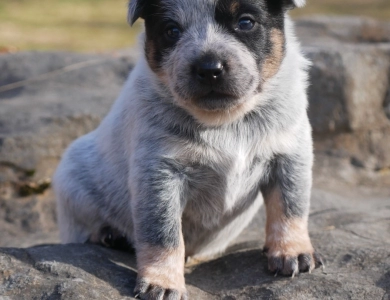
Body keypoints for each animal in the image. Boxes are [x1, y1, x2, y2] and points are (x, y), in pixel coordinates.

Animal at [54, 0, 322, 298]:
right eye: (171, 30)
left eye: (245, 22)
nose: (209, 68)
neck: (225, 123)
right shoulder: (159, 172)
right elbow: (163, 234)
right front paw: (162, 283)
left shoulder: (290, 153)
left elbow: (290, 206)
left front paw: (292, 253)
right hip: (71, 185)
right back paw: (110, 235)